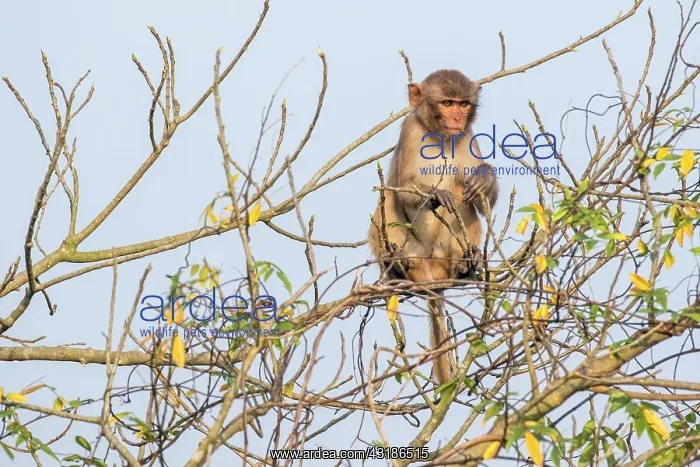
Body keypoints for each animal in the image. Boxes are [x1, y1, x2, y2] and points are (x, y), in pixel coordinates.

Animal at [369, 69, 499, 386]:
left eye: (464, 104)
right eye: (447, 102)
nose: (457, 118)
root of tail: (431, 275)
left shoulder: (468, 138)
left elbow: (482, 199)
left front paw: (485, 178)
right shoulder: (410, 130)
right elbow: (403, 189)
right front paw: (435, 195)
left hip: (443, 256)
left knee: (463, 194)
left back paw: (465, 264)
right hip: (414, 252)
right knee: (387, 199)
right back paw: (395, 268)